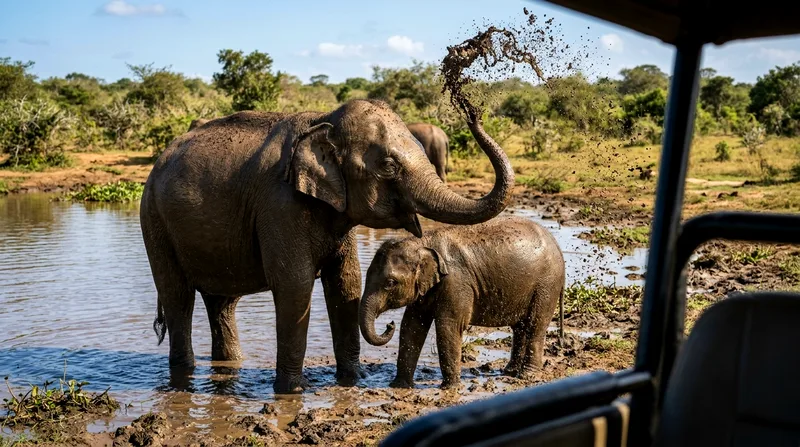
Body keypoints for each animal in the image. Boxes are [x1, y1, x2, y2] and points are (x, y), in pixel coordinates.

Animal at [139, 99, 515, 394]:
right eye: (389, 165)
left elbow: (345, 283)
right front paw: (292, 391)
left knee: (221, 302)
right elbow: (295, 286)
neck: (323, 120)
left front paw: (352, 380)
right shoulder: (281, 205)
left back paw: (229, 367)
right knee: (177, 296)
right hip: (154, 219)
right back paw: (183, 378)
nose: (472, 111)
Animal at [359, 215, 565, 389]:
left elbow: (448, 326)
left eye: (390, 283)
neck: (423, 242)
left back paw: (527, 376)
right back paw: (509, 372)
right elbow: (412, 326)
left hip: (546, 285)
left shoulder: (457, 283)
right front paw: (399, 386)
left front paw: (450, 388)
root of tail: (557, 246)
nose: (389, 324)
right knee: (520, 328)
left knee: (535, 326)